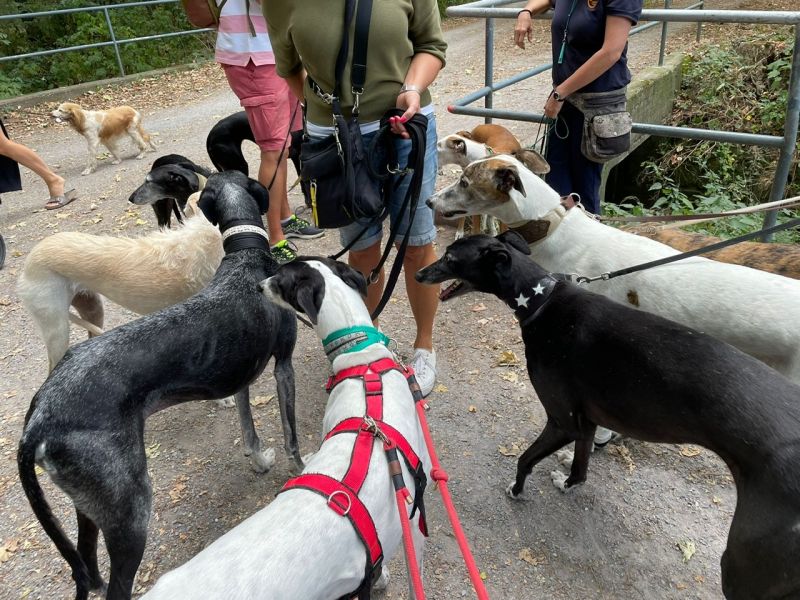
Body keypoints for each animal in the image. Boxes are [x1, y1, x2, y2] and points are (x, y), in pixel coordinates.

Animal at [416, 231, 800, 600]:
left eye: (451, 258)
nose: (419, 274)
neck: (541, 301)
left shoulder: (562, 421)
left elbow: (524, 459)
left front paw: (516, 489)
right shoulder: (585, 421)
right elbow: (580, 469)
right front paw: (567, 482)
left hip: (742, 566)